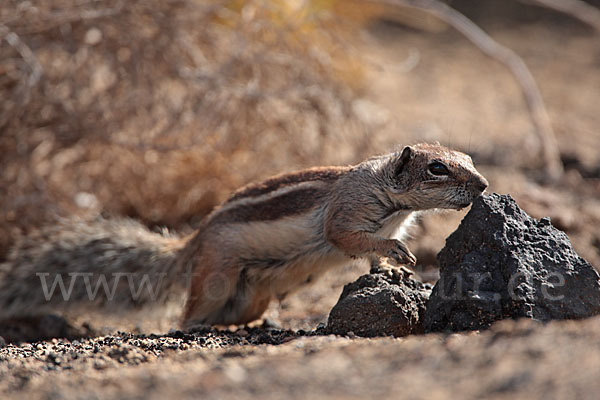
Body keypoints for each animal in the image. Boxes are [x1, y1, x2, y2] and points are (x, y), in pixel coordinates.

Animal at [0, 144, 488, 328]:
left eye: (467, 157)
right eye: (437, 168)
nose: (483, 185)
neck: (388, 194)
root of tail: (193, 243)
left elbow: (370, 258)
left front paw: (393, 271)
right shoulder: (346, 213)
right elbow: (348, 238)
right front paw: (396, 253)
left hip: (255, 292)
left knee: (241, 312)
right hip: (214, 277)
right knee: (191, 313)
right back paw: (193, 328)